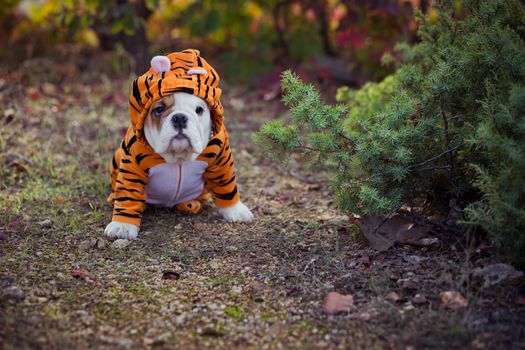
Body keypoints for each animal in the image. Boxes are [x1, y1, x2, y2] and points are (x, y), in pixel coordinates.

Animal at [103, 50, 254, 241]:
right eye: (159, 110)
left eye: (199, 110)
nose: (180, 117)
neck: (179, 156)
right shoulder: (132, 165)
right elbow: (127, 193)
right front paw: (122, 225)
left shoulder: (221, 160)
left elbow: (226, 185)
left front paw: (235, 210)